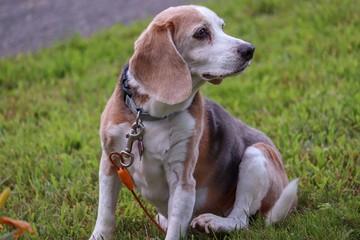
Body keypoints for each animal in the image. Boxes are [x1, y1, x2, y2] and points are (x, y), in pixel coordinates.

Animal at [90, 5, 298, 240]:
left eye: (222, 26)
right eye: (201, 33)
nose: (249, 49)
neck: (154, 117)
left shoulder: (182, 179)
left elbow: (174, 229)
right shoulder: (110, 163)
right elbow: (105, 214)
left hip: (257, 153)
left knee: (240, 219)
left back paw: (214, 223)